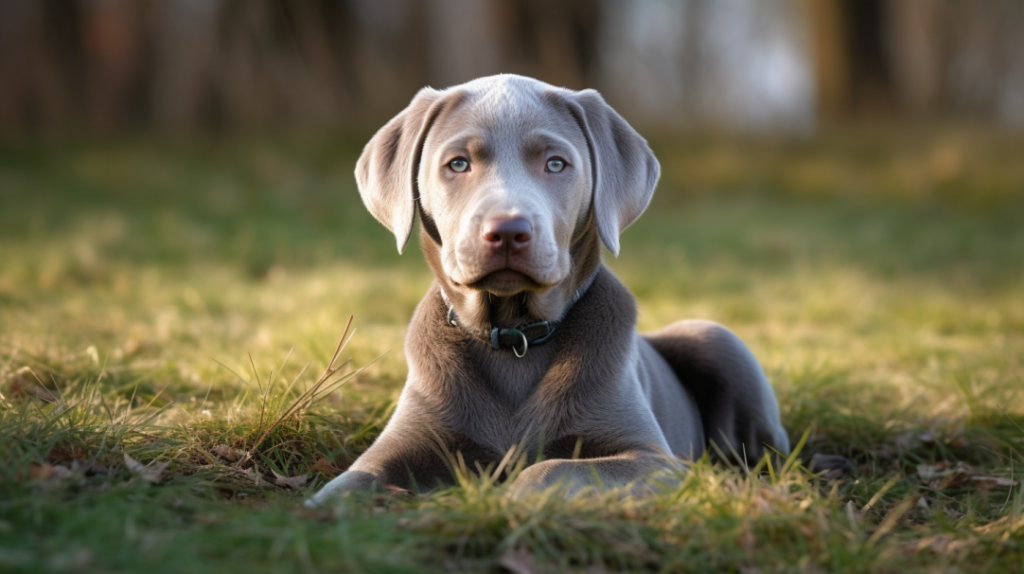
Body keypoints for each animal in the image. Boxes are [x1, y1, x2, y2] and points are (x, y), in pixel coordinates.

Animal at [307, 72, 786, 505]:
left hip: (716, 340)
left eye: (556, 163)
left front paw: (504, 501)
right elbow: (347, 485)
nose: (507, 231)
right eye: (458, 163)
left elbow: (550, 469)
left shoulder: (652, 460)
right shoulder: (399, 445)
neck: (514, 336)